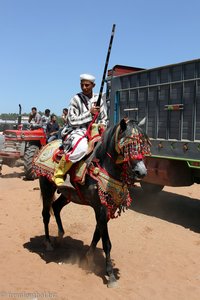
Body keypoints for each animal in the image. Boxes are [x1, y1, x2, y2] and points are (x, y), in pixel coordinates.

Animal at [35, 118, 150, 288]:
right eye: (128, 145)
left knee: (56, 207)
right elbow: (106, 242)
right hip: (47, 187)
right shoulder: (100, 208)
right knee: (45, 214)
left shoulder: (106, 208)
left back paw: (60, 237)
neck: (104, 165)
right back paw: (48, 243)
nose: (141, 172)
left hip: (68, 195)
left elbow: (98, 233)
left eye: (142, 144)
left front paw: (89, 258)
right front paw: (110, 275)